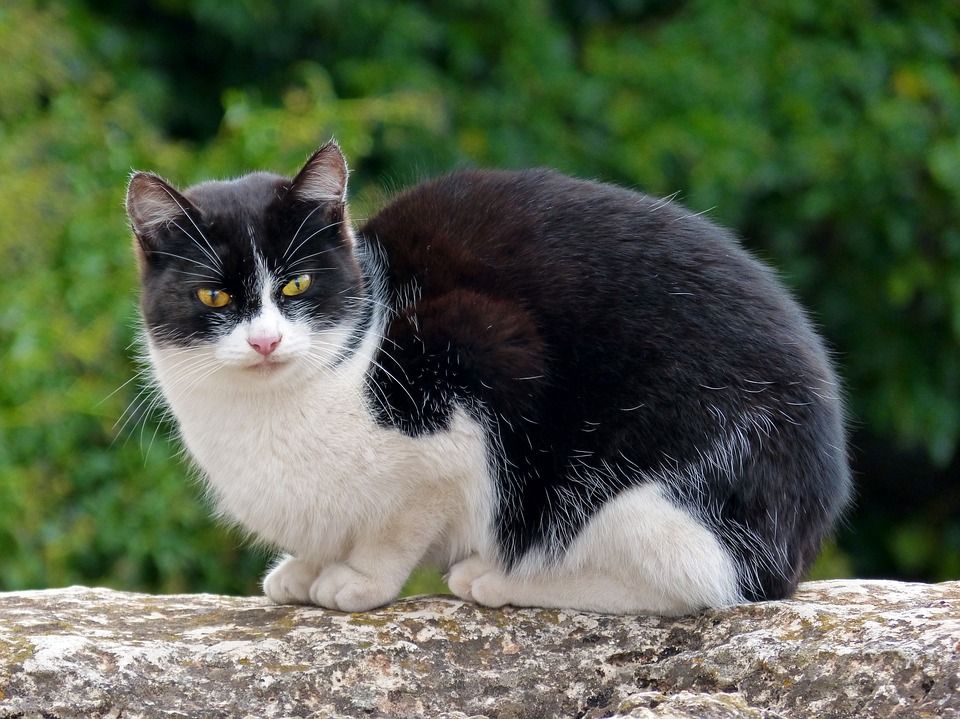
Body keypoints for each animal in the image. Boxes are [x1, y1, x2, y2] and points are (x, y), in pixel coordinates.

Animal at [125, 142, 848, 620]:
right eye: (214, 297)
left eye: (297, 284)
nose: (266, 340)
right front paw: (306, 568)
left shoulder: (480, 360)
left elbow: (405, 519)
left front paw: (357, 578)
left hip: (650, 486)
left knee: (695, 582)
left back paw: (499, 578)